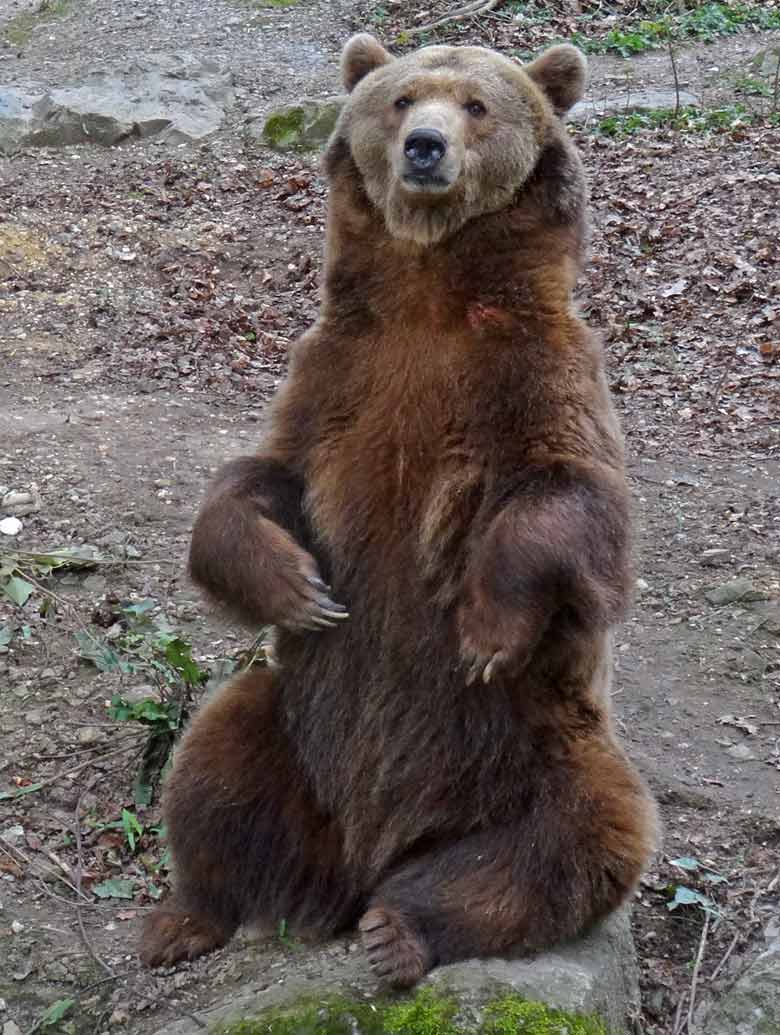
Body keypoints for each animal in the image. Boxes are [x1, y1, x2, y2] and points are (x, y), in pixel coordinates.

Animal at [139, 32, 657, 985]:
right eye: (402, 97)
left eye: (478, 105)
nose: (424, 147)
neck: (428, 291)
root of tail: (365, 853)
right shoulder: (337, 373)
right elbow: (261, 479)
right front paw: (299, 587)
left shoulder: (537, 374)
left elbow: (570, 499)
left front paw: (485, 629)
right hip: (292, 726)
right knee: (216, 759)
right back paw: (186, 917)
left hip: (532, 745)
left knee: (576, 832)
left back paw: (400, 928)